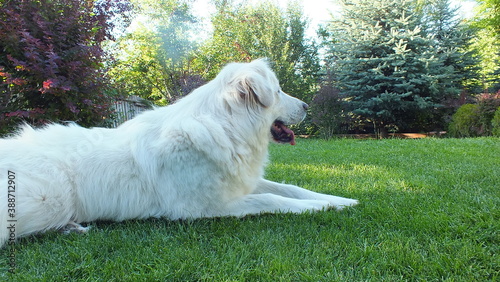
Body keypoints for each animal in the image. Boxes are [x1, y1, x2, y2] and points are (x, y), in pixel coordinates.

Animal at [0, 59, 360, 247]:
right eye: (279, 91)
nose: (307, 106)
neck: (228, 127)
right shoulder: (205, 207)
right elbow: (273, 199)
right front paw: (322, 207)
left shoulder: (239, 181)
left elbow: (291, 188)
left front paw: (340, 200)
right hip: (48, 199)